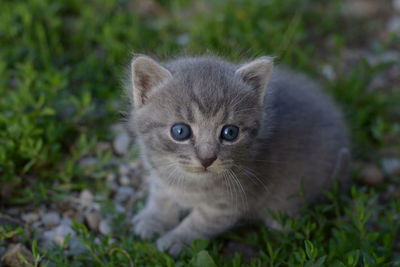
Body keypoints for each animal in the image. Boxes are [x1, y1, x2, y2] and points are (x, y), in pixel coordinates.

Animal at [128, 54, 350, 258]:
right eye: (180, 131)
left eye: (230, 132)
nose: (207, 159)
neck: (188, 182)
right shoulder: (159, 171)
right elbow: (161, 195)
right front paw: (154, 219)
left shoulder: (229, 202)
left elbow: (200, 223)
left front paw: (176, 239)